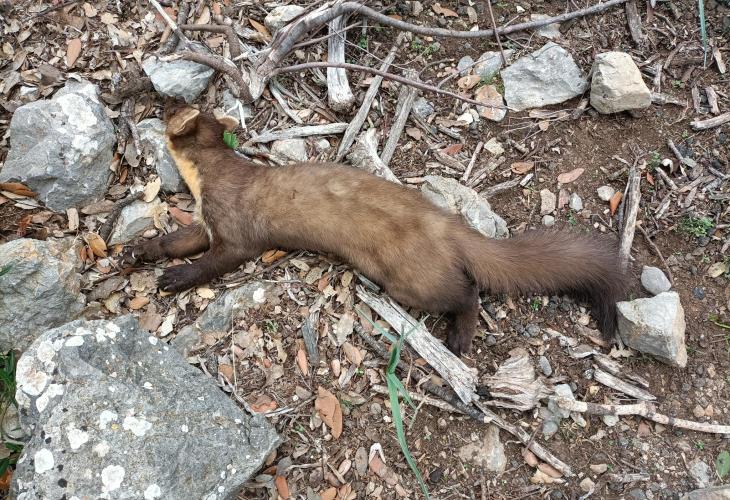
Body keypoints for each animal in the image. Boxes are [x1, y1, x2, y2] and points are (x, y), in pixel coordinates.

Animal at [122, 102, 625, 356]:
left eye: (169, 105)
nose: (157, 95)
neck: (207, 182)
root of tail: (446, 223)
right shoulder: (205, 221)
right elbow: (177, 240)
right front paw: (140, 252)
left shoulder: (235, 229)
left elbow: (217, 259)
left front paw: (175, 279)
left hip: (408, 280)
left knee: (467, 294)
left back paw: (458, 339)